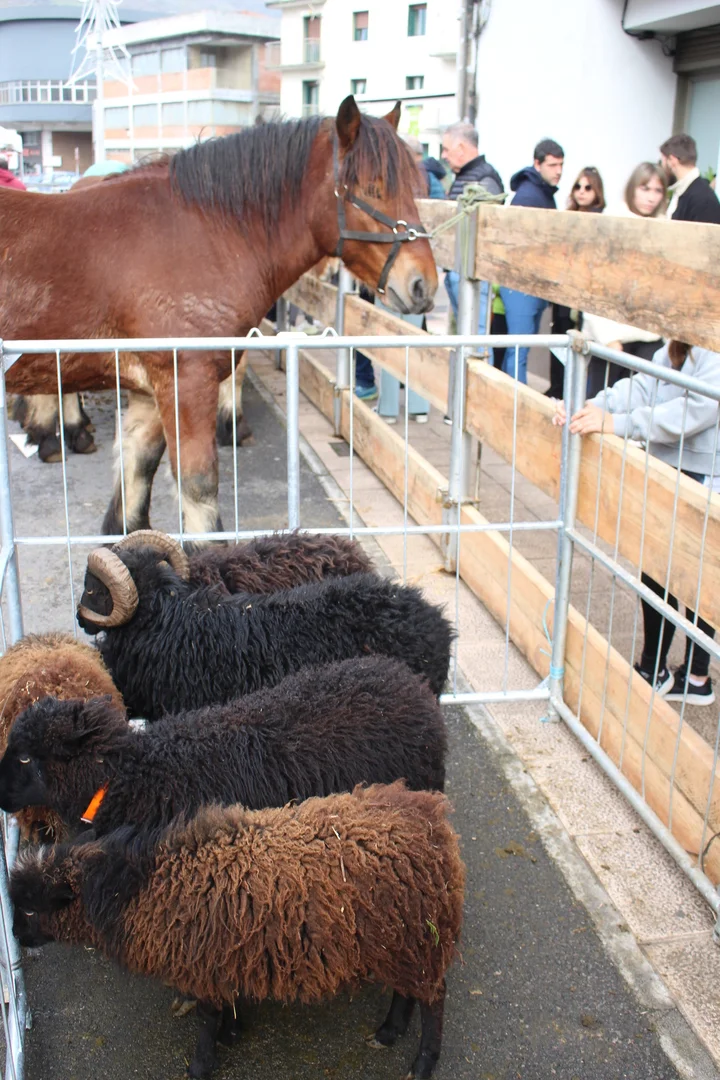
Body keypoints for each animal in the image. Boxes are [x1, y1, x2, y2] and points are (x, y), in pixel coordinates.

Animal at [11, 781, 465, 1079]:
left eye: (32, 909)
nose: (16, 938)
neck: (138, 884)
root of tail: (433, 819)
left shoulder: (204, 963)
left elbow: (207, 1018)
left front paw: (201, 1064)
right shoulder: (226, 957)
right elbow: (225, 1006)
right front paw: (233, 1032)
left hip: (416, 936)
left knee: (434, 1000)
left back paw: (422, 1061)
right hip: (404, 939)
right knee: (410, 990)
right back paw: (390, 1030)